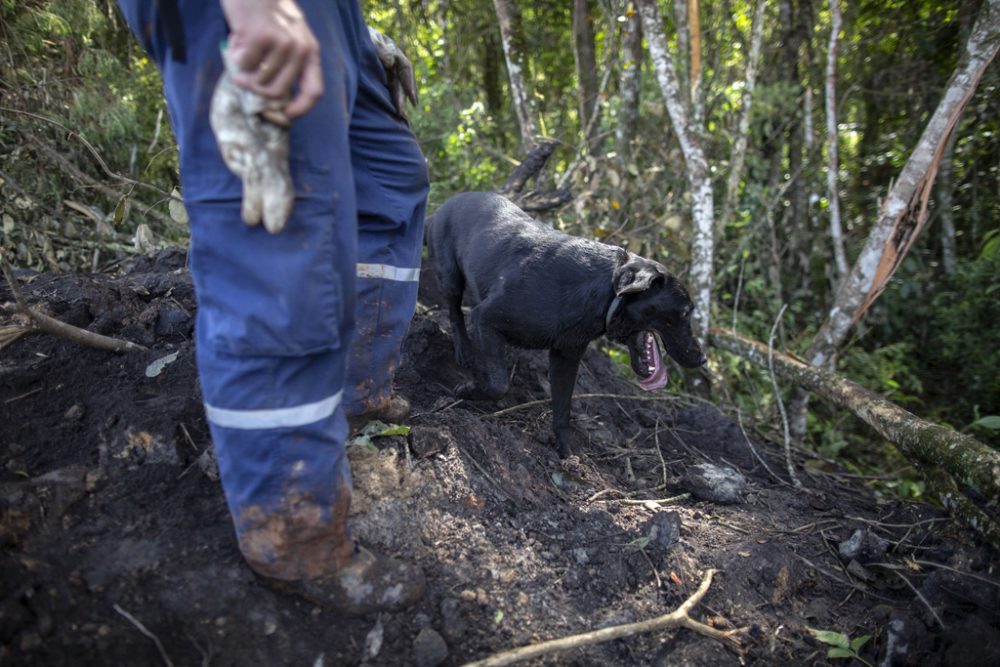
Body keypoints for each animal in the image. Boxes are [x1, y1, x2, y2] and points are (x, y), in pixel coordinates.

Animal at [426, 190, 708, 456]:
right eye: (685, 312)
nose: (703, 358)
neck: (606, 293)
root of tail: (446, 204)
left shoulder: (567, 356)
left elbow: (563, 409)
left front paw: (567, 454)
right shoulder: (485, 318)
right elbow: (498, 384)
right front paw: (468, 390)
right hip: (450, 277)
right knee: (454, 312)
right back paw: (464, 350)